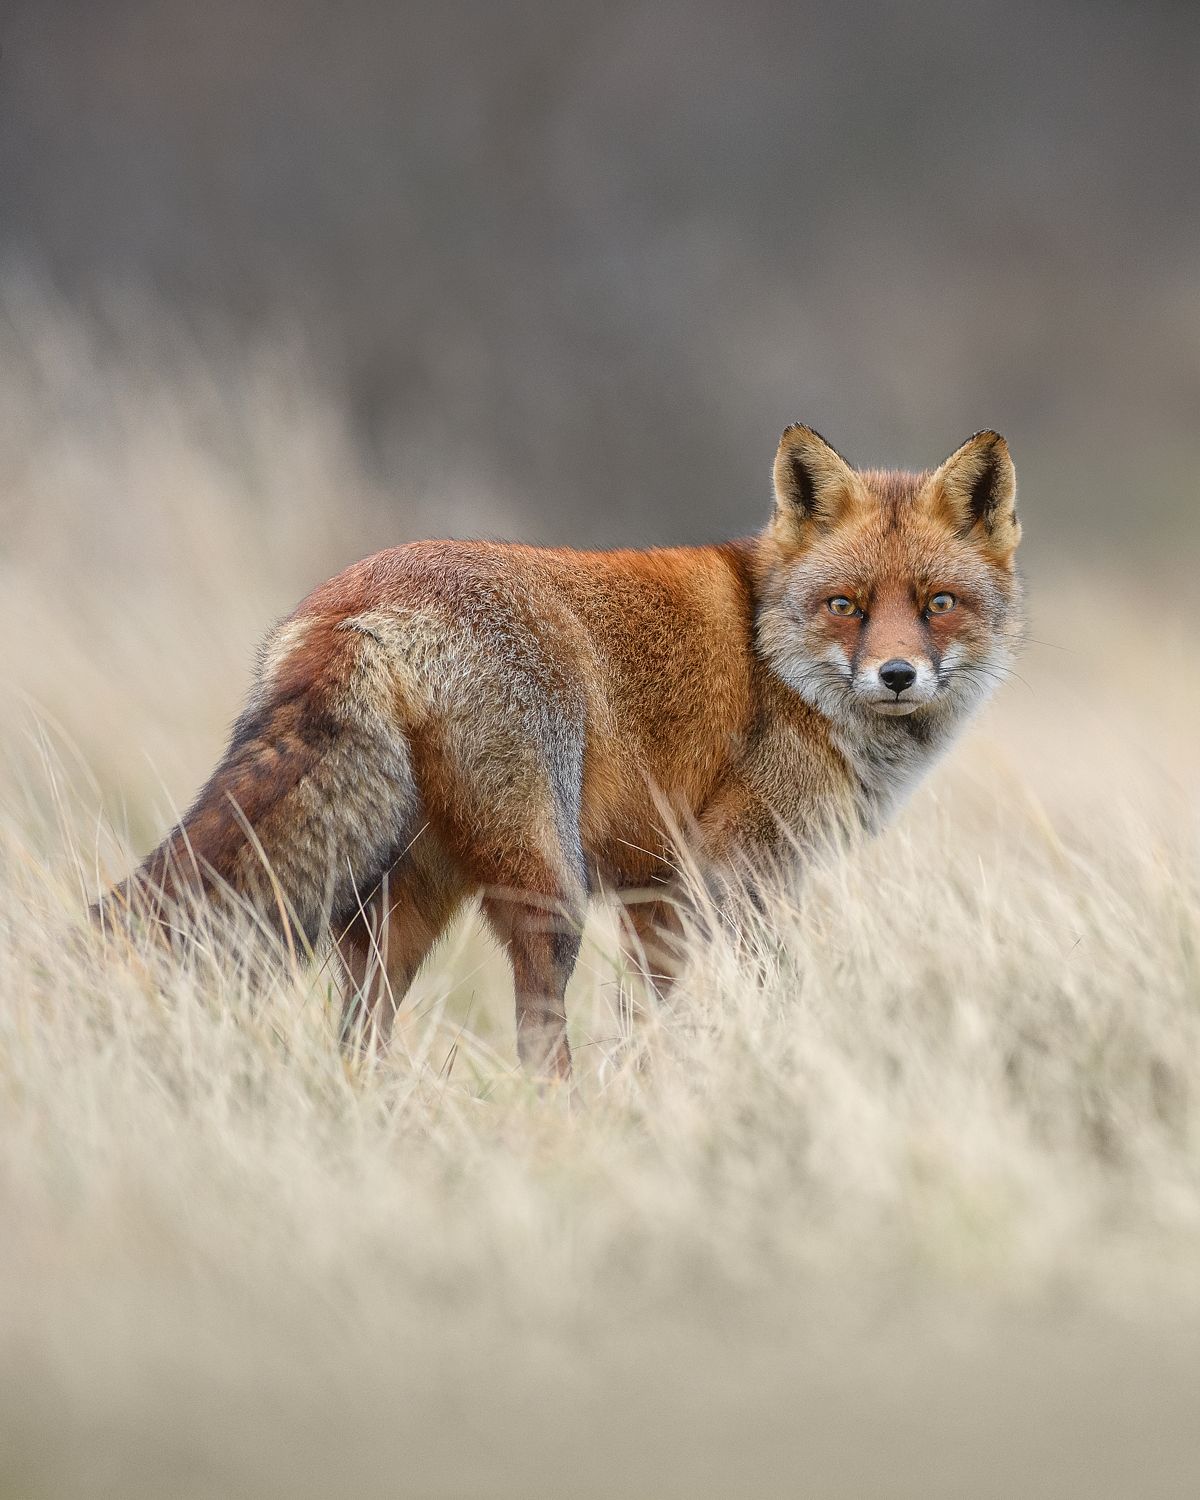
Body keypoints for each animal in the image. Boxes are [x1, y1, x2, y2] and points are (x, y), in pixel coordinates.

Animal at [97, 425, 1022, 1078]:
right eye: (847, 606)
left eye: (938, 603)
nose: (897, 675)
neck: (776, 659)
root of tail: (358, 603)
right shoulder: (732, 869)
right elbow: (751, 991)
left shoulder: (661, 892)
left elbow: (650, 1013)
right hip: (551, 888)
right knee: (537, 1035)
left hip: (405, 905)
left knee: (363, 1021)